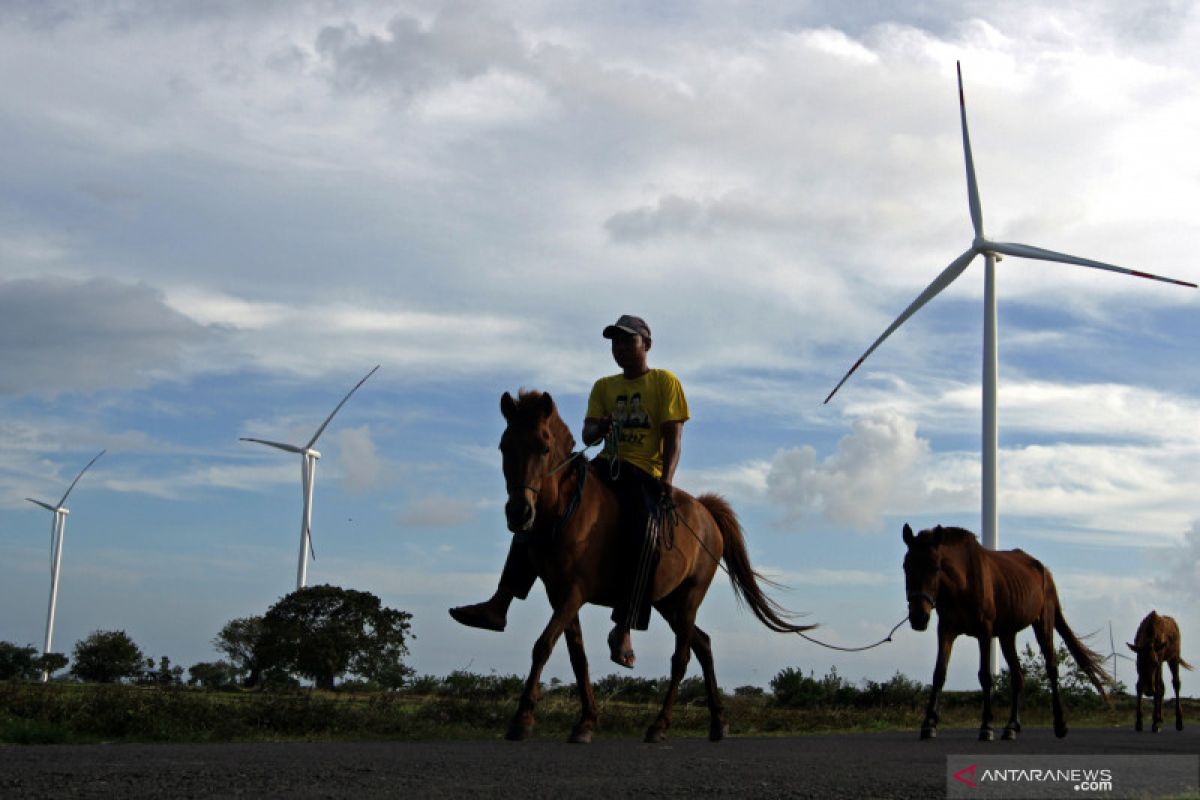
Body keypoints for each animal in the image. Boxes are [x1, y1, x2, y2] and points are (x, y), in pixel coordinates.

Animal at [496, 391, 816, 748]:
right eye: (504, 446)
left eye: (543, 447)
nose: (519, 512)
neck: (567, 511)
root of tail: (706, 512)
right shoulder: (559, 593)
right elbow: (577, 657)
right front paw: (585, 722)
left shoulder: (574, 592)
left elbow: (542, 645)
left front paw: (522, 719)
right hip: (665, 602)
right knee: (703, 644)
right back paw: (718, 722)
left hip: (689, 597)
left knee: (682, 658)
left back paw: (660, 724)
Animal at [902, 522, 1108, 743]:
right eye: (906, 567)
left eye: (935, 567)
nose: (918, 617)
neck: (962, 582)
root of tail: (1044, 570)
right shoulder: (947, 630)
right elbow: (939, 673)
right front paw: (929, 724)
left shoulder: (984, 632)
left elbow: (985, 676)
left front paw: (986, 726)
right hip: (1007, 635)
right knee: (1018, 676)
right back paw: (1012, 727)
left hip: (1043, 622)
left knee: (1051, 668)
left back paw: (1060, 724)